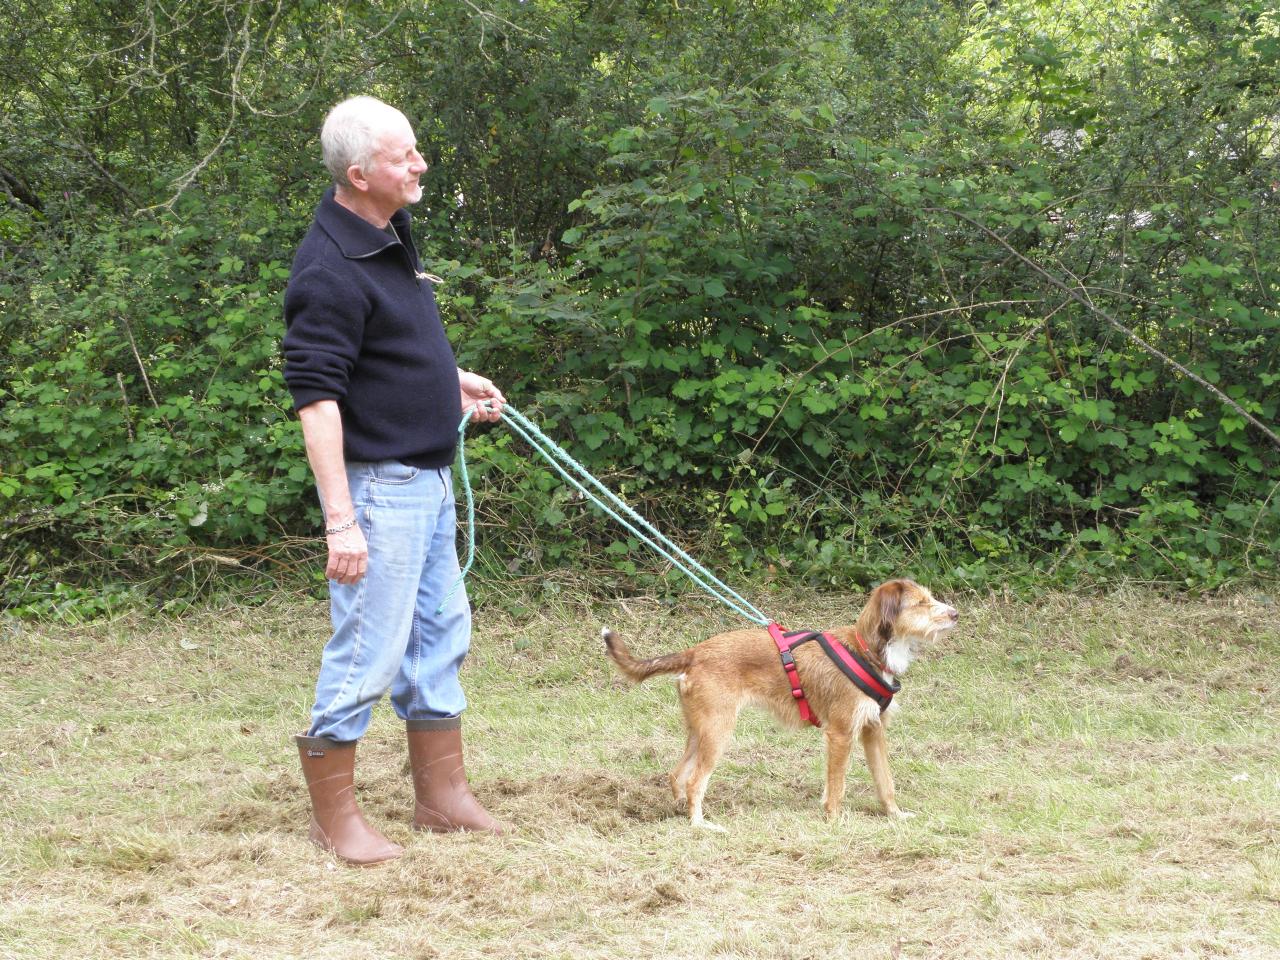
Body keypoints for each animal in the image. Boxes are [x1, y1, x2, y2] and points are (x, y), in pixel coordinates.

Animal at [604, 583, 957, 829]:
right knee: (694, 781)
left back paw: (681, 810)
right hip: (718, 732)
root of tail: (695, 652)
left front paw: (894, 816)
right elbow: (837, 787)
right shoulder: (841, 734)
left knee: (676, 775)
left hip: (699, 731)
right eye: (921, 603)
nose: (955, 614)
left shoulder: (873, 730)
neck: (867, 650)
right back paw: (700, 825)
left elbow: (886, 782)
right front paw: (834, 821)